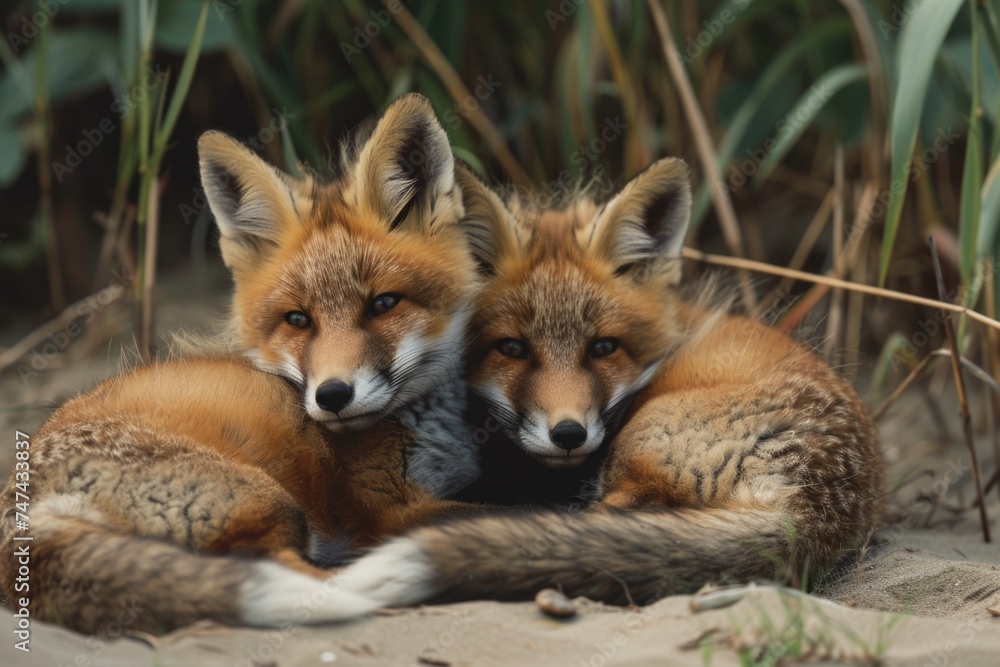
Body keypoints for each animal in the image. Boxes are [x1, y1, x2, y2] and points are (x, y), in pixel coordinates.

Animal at [0, 94, 498, 633]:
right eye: (298, 319)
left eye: (383, 304)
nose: (333, 396)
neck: (427, 426)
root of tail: (21, 523)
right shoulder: (387, 509)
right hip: (270, 501)